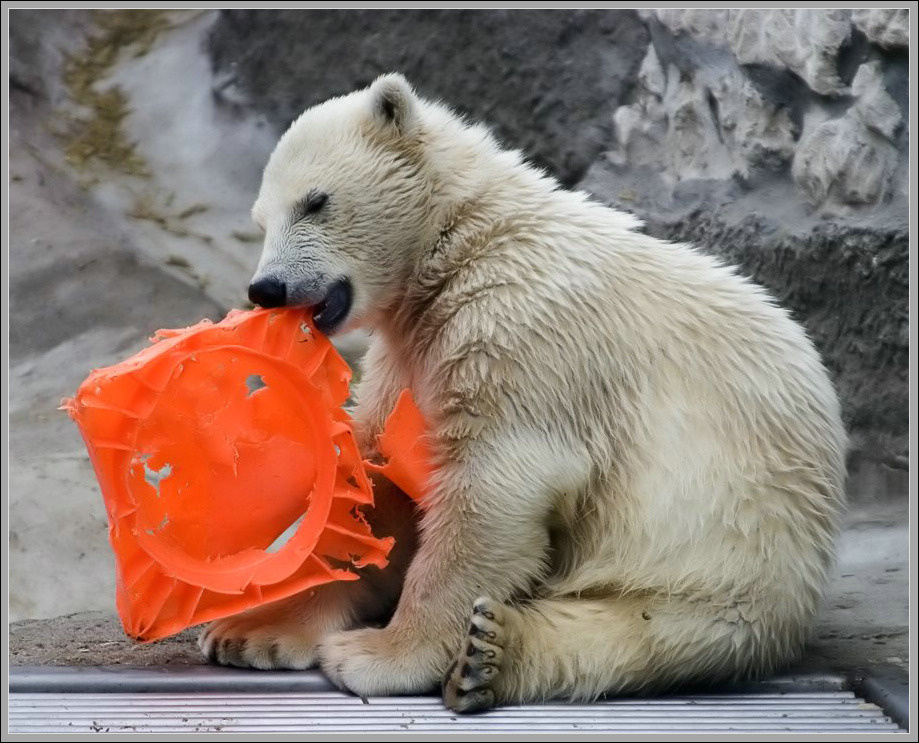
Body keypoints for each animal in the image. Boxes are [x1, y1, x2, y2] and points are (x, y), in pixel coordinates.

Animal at [199, 73, 847, 713]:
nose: (267, 288)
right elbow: (385, 480)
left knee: (645, 629)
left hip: (725, 541)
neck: (466, 243)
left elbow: (493, 485)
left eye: (316, 202)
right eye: (261, 220)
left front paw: (380, 658)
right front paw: (254, 631)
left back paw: (489, 653)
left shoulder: (522, 334)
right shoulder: (411, 354)